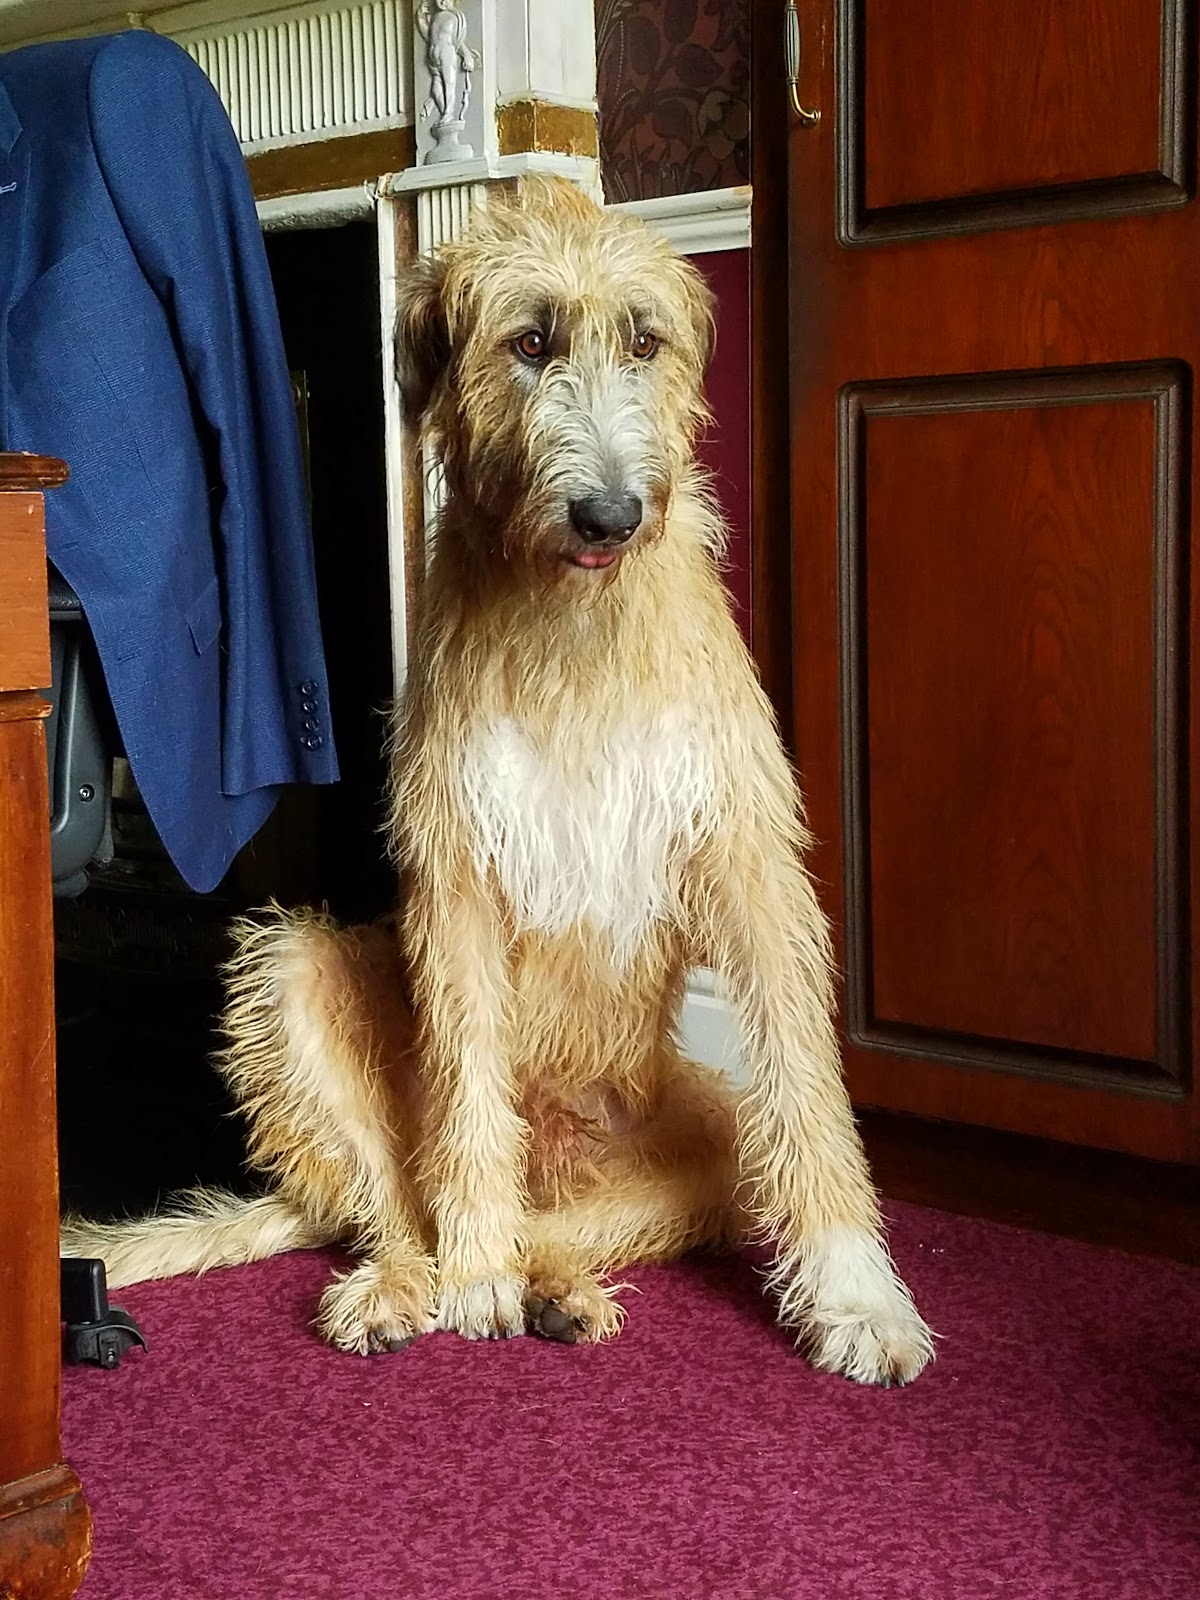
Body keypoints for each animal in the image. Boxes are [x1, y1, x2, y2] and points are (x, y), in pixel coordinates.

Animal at [63, 177, 934, 1386]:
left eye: (644, 341)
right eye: (529, 342)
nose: (610, 515)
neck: (574, 622)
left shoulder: (747, 854)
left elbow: (809, 1090)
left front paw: (857, 1293)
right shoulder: (458, 872)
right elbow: (467, 1081)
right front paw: (475, 1271)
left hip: (702, 1134)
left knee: (593, 1213)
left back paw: (557, 1283)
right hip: (292, 979)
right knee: (394, 1198)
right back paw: (415, 1279)